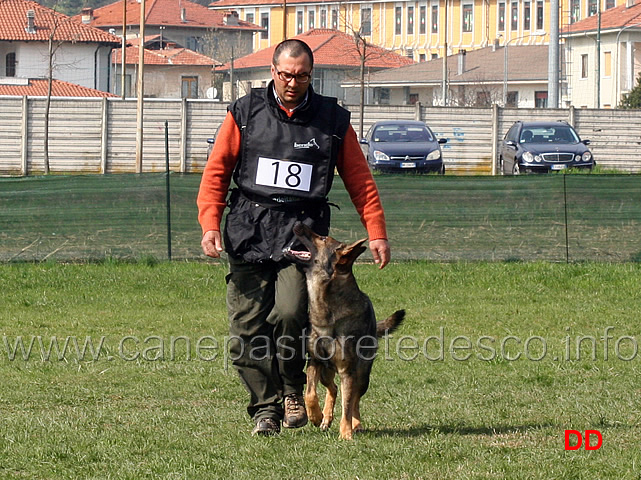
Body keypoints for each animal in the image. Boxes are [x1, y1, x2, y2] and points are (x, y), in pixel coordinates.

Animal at [284, 221, 404, 438]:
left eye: (323, 238)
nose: (298, 222)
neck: (325, 311)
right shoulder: (314, 361)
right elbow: (310, 393)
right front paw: (315, 416)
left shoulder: (347, 370)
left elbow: (347, 404)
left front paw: (346, 433)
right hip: (326, 372)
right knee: (333, 388)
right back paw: (325, 418)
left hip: (362, 375)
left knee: (354, 397)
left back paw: (356, 424)